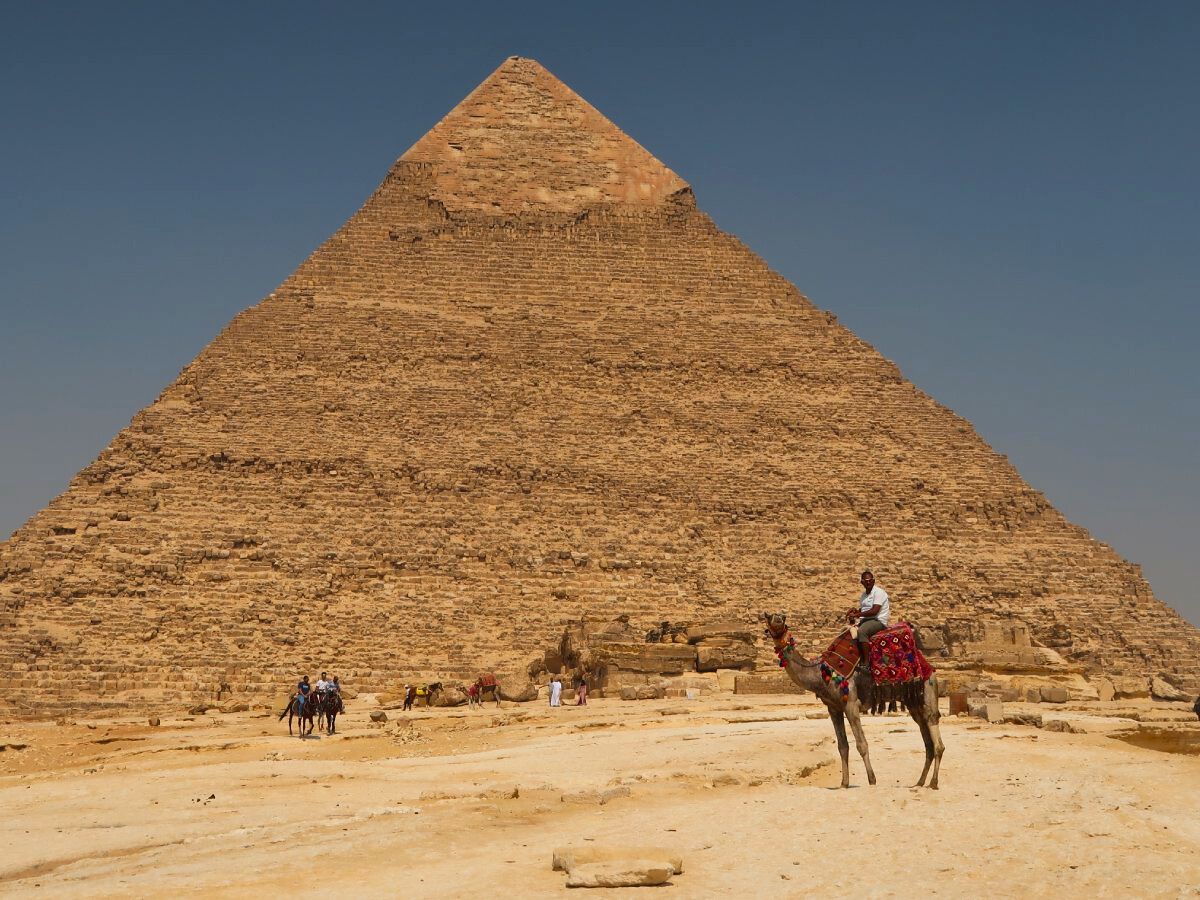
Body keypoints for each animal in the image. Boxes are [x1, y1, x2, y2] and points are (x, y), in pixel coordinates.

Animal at [758, 614, 945, 787]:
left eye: (782, 618)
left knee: (936, 739)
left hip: (928, 692)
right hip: (914, 702)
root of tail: (928, 667)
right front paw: (844, 783)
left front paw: (872, 780)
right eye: (769, 617)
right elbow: (842, 746)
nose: (776, 620)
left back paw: (934, 782)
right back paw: (920, 782)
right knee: (927, 741)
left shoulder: (851, 704)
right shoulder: (833, 708)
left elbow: (861, 744)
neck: (821, 673)